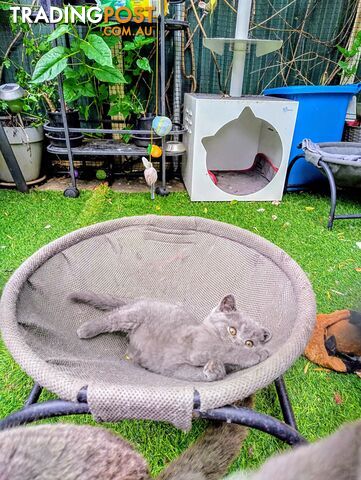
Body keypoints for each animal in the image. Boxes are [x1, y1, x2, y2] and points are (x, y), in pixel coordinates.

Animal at [70, 292, 270, 382]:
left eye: (249, 342)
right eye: (232, 331)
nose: (239, 342)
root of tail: (139, 300)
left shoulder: (176, 369)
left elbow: (196, 374)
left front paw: (214, 369)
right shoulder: (200, 347)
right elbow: (226, 351)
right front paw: (259, 354)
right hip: (133, 315)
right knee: (111, 318)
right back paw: (85, 329)